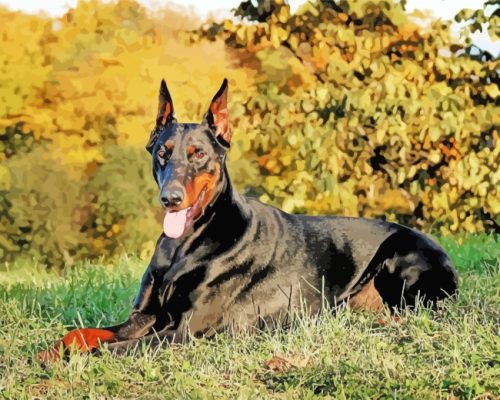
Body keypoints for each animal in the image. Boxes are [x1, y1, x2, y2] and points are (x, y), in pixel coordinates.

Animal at [37, 78, 458, 362]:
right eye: (162, 152)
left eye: (198, 154)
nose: (170, 198)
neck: (186, 244)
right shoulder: (146, 315)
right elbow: (82, 334)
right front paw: (49, 351)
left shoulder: (185, 331)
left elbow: (110, 349)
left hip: (400, 259)